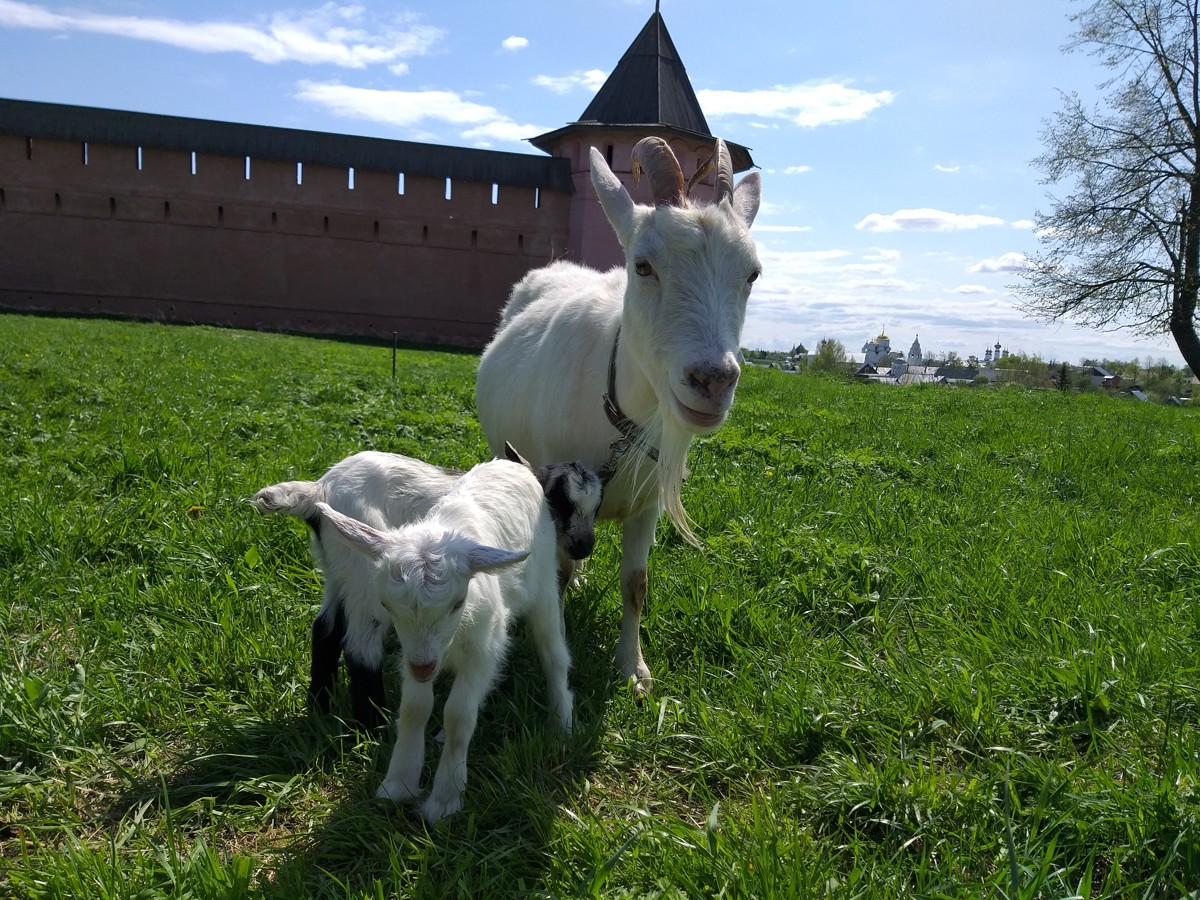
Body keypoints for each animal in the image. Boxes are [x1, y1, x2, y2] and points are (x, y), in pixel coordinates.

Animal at [475, 137, 758, 696]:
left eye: (752, 274)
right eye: (643, 266)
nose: (713, 380)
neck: (621, 420)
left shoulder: (648, 503)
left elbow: (636, 583)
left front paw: (633, 670)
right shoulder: (555, 490)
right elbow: (559, 574)